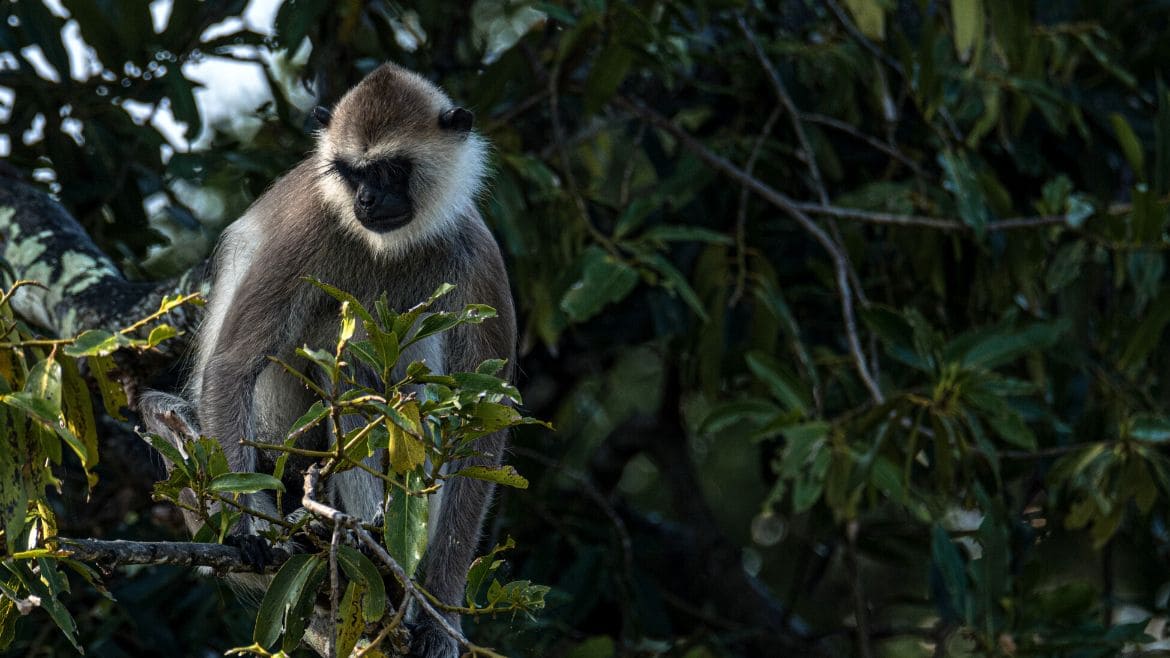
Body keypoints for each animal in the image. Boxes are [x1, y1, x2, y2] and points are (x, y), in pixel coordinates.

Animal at [139, 62, 515, 658]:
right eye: (349, 172)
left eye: (389, 171)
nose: (366, 201)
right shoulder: (308, 228)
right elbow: (232, 366)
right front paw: (243, 534)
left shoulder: (475, 250)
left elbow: (482, 428)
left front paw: (440, 620)